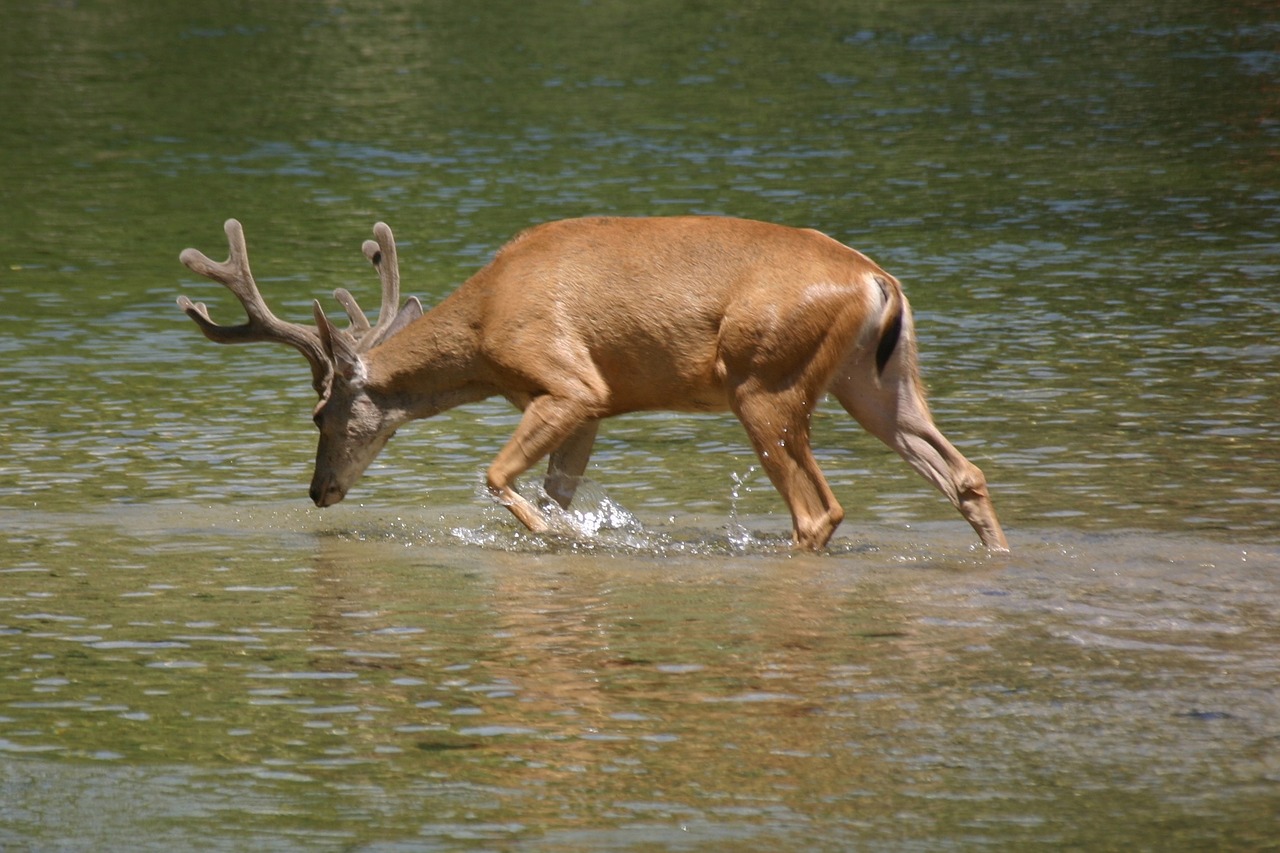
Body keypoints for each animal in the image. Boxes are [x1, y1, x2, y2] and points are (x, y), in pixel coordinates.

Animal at [177, 217, 1008, 550]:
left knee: (819, 510)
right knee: (963, 471)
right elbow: (555, 488)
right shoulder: (592, 410)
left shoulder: (569, 382)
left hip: (767, 382)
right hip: (875, 381)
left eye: (319, 416)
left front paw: (561, 539)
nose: (318, 490)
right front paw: (574, 529)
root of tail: (877, 279)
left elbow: (499, 476)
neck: (483, 330)